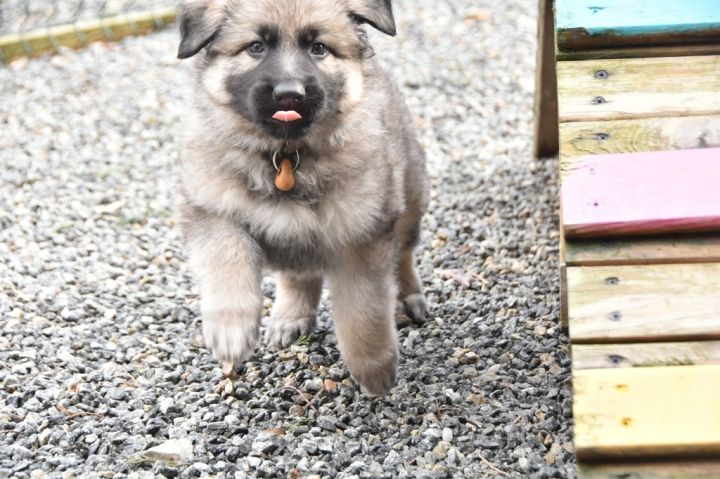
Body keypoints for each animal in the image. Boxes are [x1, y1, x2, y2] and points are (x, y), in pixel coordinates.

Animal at [176, 0, 428, 395]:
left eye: (319, 48)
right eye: (256, 47)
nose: (289, 95)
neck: (285, 157)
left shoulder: (363, 233)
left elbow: (364, 308)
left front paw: (374, 366)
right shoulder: (210, 210)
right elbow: (227, 259)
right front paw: (231, 330)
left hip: (410, 198)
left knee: (402, 253)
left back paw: (409, 297)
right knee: (299, 274)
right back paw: (290, 316)